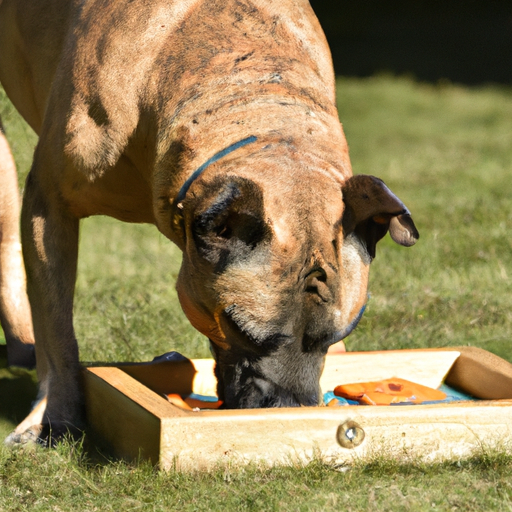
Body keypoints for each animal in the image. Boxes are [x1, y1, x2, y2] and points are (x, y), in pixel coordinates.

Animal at [0, 0, 416, 442]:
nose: (287, 408)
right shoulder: (50, 206)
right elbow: (56, 328)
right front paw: (53, 414)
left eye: (339, 335)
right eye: (240, 330)